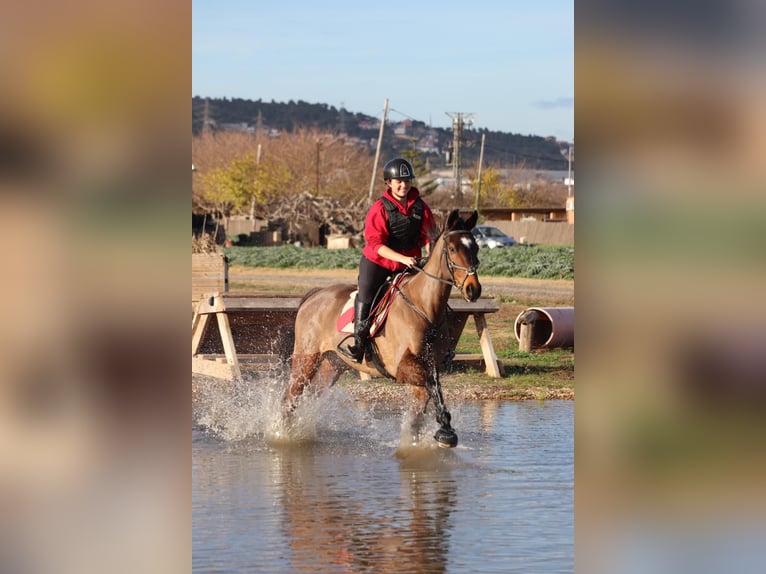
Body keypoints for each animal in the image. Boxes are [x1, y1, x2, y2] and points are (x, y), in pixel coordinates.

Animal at [284, 209, 484, 448]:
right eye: (452, 249)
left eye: (476, 247)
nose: (473, 289)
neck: (424, 307)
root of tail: (314, 296)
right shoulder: (402, 367)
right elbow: (432, 387)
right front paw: (445, 430)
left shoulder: (430, 364)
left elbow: (423, 404)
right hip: (306, 358)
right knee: (291, 397)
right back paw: (281, 433)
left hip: (332, 365)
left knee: (310, 395)